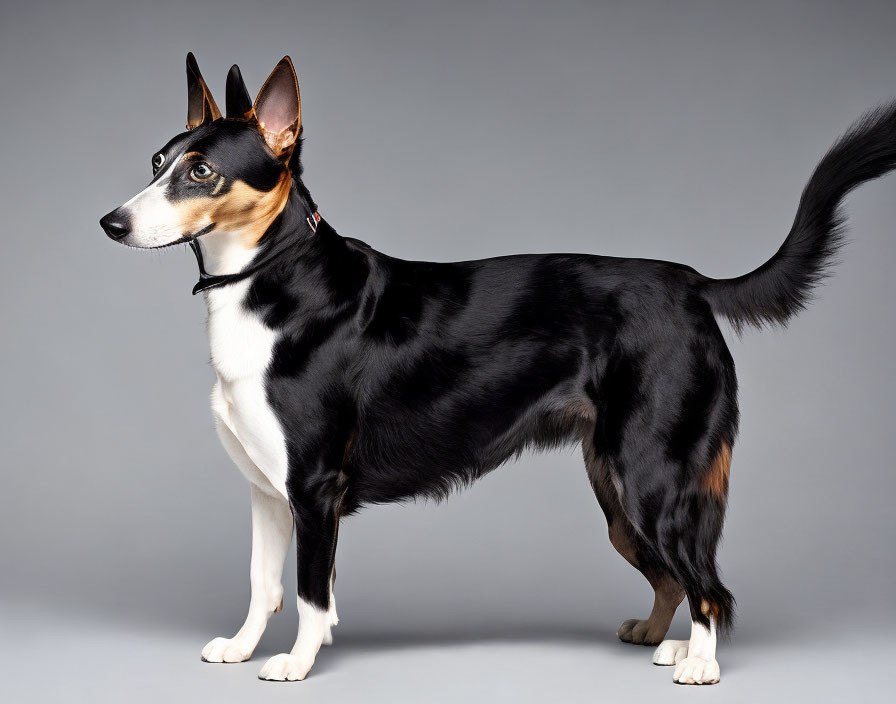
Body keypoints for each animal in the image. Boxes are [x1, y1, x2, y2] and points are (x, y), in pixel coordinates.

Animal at [100, 53, 896, 680]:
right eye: (157, 165)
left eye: (203, 172)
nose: (112, 222)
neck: (271, 277)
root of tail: (690, 283)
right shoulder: (271, 492)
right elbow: (263, 583)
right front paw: (241, 648)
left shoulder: (315, 489)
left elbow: (310, 593)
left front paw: (296, 664)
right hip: (615, 489)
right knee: (672, 574)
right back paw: (656, 637)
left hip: (656, 479)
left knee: (707, 583)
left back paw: (698, 662)